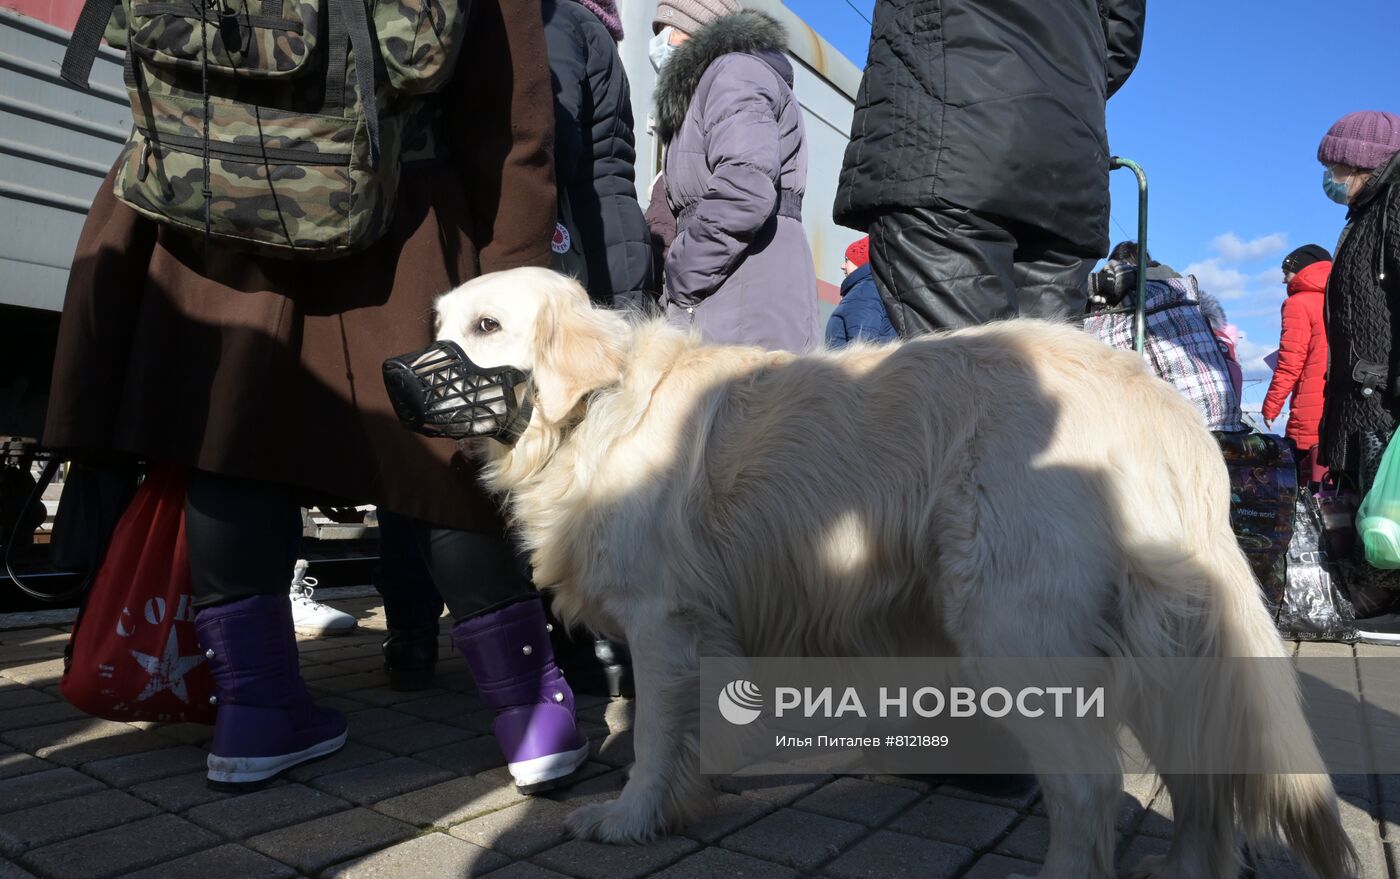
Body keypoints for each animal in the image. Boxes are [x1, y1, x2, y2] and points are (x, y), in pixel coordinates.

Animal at [428, 267, 1355, 879]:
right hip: (1162, 637)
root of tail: (1161, 404)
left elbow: (655, 741)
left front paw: (626, 819)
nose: (401, 374)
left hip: (1013, 627)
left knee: (1091, 786)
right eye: (439, 325)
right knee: (1201, 773)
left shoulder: (664, 621)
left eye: (487, 328)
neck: (592, 413)